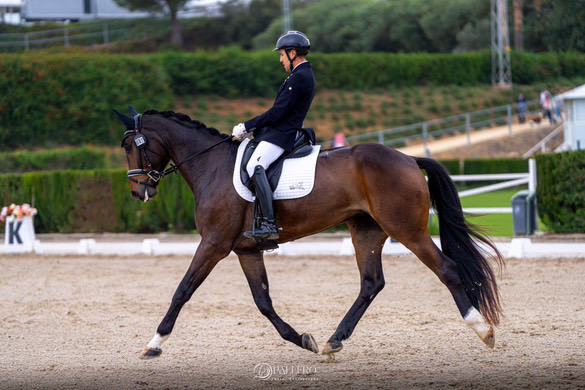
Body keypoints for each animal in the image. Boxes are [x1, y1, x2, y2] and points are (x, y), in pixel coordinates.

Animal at [115, 109, 502, 360]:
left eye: (133, 145)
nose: (138, 191)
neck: (211, 165)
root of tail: (408, 158)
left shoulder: (214, 243)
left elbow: (183, 290)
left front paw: (154, 343)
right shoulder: (246, 250)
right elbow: (263, 302)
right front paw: (302, 339)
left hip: (406, 229)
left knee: (446, 269)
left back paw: (483, 330)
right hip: (366, 231)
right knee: (371, 283)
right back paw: (333, 341)